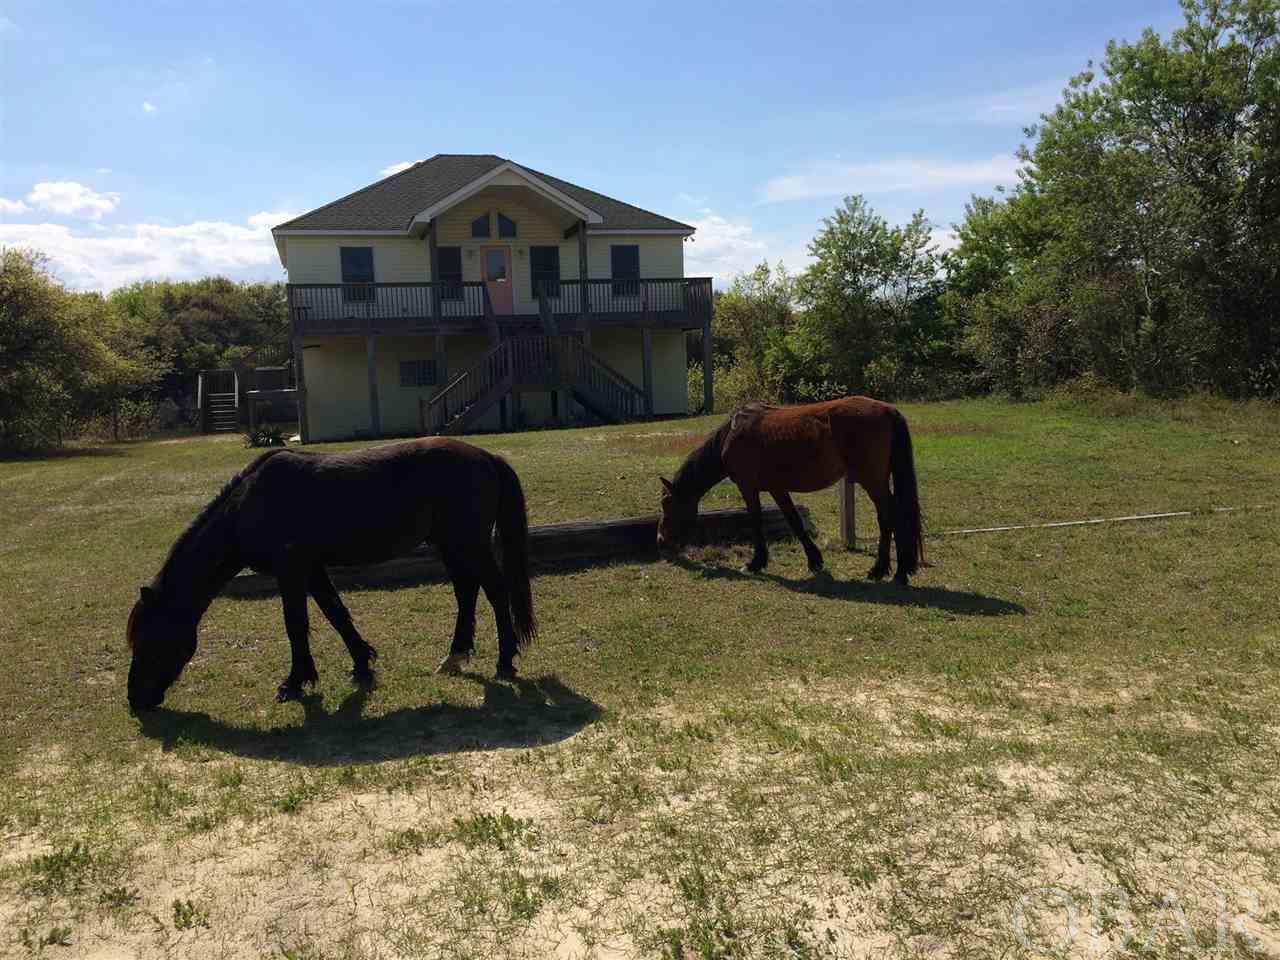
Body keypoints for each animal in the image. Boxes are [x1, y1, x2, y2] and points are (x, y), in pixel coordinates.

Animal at [126, 440, 535, 711]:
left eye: (150, 640)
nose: (136, 700)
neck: (247, 505)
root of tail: (488, 457)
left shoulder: (291, 568)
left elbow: (296, 623)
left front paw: (294, 683)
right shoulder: (311, 568)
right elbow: (335, 612)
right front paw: (361, 664)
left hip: (469, 544)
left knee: (495, 593)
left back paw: (504, 662)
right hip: (451, 545)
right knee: (467, 591)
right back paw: (454, 657)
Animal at [660, 399, 921, 586]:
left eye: (667, 504)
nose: (660, 540)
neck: (732, 433)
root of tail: (888, 410)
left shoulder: (748, 487)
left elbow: (756, 521)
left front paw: (755, 563)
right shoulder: (777, 488)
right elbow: (793, 520)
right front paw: (814, 560)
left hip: (872, 481)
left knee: (890, 517)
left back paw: (893, 572)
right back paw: (886, 570)